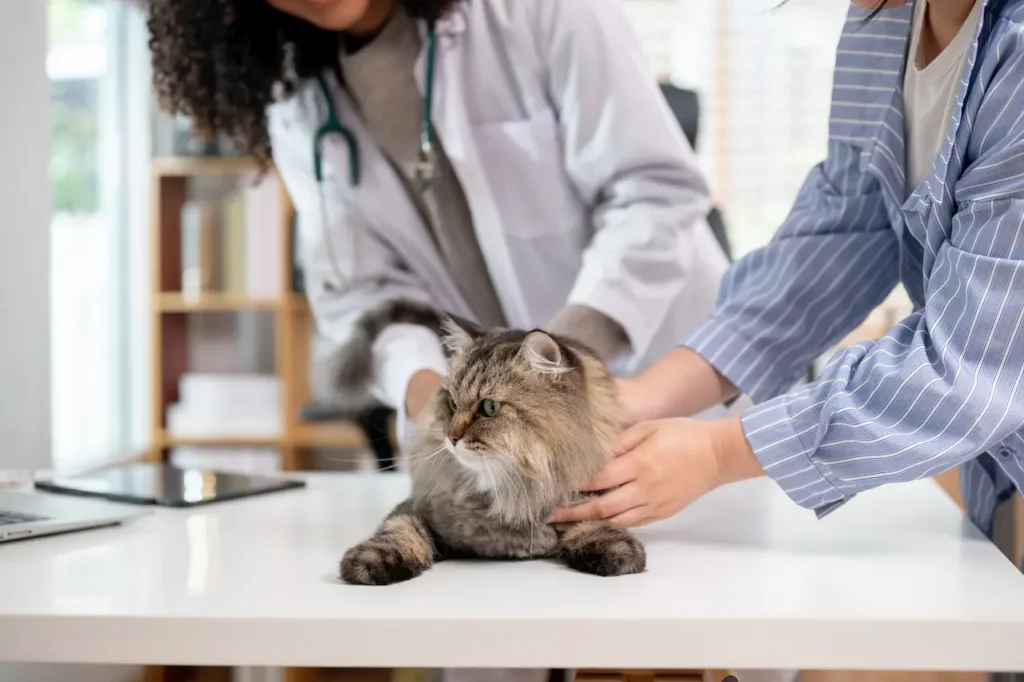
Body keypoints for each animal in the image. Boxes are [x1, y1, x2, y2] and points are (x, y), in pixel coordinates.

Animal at [325, 299, 647, 585]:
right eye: (452, 404)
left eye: (490, 408)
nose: (451, 437)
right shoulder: (418, 507)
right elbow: (398, 530)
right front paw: (370, 562)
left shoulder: (588, 501)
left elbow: (596, 524)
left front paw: (615, 552)